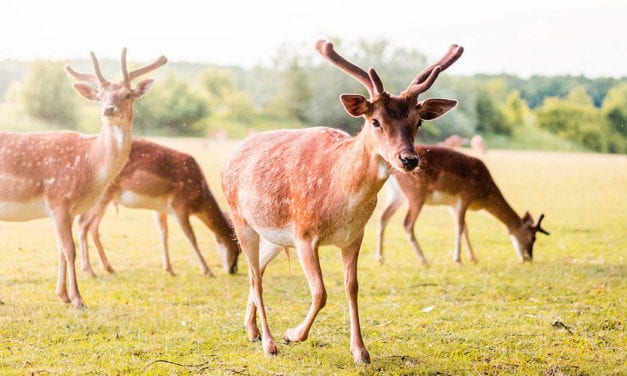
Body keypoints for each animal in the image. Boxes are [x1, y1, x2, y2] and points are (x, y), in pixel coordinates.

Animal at [0, 49, 167, 308]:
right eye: (99, 96)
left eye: (127, 95)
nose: (108, 109)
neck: (90, 167)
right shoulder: (59, 200)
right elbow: (70, 250)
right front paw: (78, 300)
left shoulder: (64, 211)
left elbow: (60, 249)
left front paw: (63, 295)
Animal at [78, 137, 240, 276]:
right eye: (237, 247)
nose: (233, 270)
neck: (199, 200)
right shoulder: (179, 204)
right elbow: (191, 236)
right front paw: (208, 271)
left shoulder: (160, 209)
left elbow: (163, 234)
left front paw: (169, 269)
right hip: (105, 192)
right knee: (83, 222)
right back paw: (89, 270)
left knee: (93, 227)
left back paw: (109, 267)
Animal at [220, 40, 462, 364]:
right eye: (375, 121)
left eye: (419, 122)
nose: (409, 159)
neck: (339, 200)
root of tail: (230, 155)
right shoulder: (304, 233)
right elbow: (321, 292)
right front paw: (293, 334)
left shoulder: (354, 236)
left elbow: (352, 287)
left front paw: (360, 350)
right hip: (241, 218)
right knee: (255, 277)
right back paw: (269, 342)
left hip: (274, 237)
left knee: (255, 271)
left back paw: (252, 330)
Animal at [378, 144, 548, 264]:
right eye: (532, 238)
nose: (528, 258)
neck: (484, 193)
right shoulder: (464, 196)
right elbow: (460, 227)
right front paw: (458, 259)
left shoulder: (453, 204)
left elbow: (465, 228)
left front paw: (473, 258)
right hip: (416, 194)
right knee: (407, 223)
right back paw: (423, 259)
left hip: (397, 195)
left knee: (383, 216)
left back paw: (380, 258)